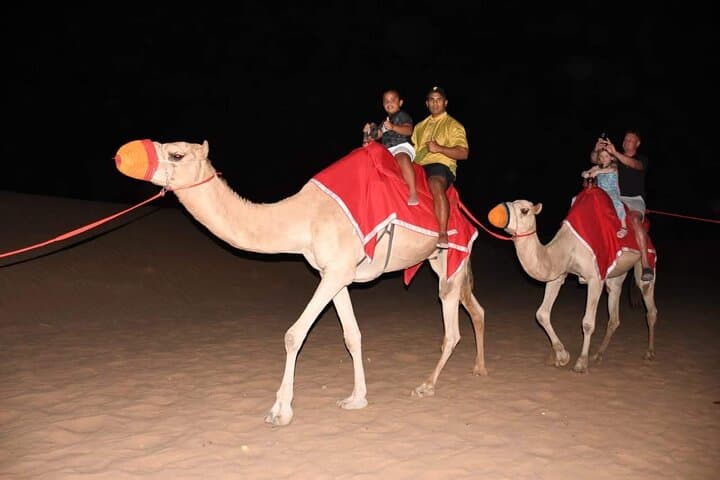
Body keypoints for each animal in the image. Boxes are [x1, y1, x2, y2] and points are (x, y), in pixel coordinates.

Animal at [114, 139, 487, 426]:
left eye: (177, 154)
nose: (122, 155)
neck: (304, 218)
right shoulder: (335, 273)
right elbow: (352, 336)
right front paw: (357, 398)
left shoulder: (336, 272)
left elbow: (294, 335)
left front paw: (280, 410)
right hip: (440, 261)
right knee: (475, 309)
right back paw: (479, 368)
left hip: (453, 258)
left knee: (452, 325)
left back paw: (427, 385)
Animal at [487, 198, 658, 374]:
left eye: (524, 210)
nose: (495, 212)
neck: (568, 247)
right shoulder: (557, 274)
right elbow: (542, 314)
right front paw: (562, 356)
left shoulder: (595, 278)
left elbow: (588, 323)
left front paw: (581, 363)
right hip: (616, 276)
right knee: (614, 315)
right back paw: (598, 355)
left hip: (646, 262)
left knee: (649, 304)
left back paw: (649, 352)